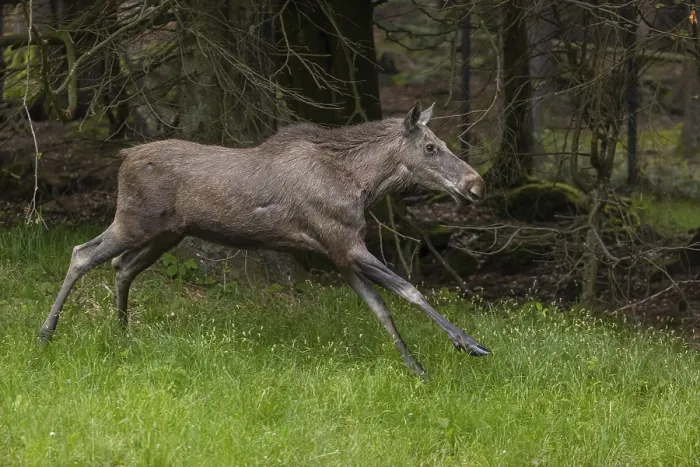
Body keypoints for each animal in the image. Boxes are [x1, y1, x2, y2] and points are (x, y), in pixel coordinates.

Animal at [38, 101, 490, 377]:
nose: (476, 185)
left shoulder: (340, 253)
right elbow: (409, 290)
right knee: (82, 254)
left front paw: (416, 368)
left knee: (121, 266)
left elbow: (381, 309)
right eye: (431, 147)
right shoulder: (344, 243)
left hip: (165, 234)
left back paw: (122, 332)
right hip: (134, 221)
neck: (362, 185)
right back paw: (47, 332)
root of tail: (124, 157)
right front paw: (469, 343)